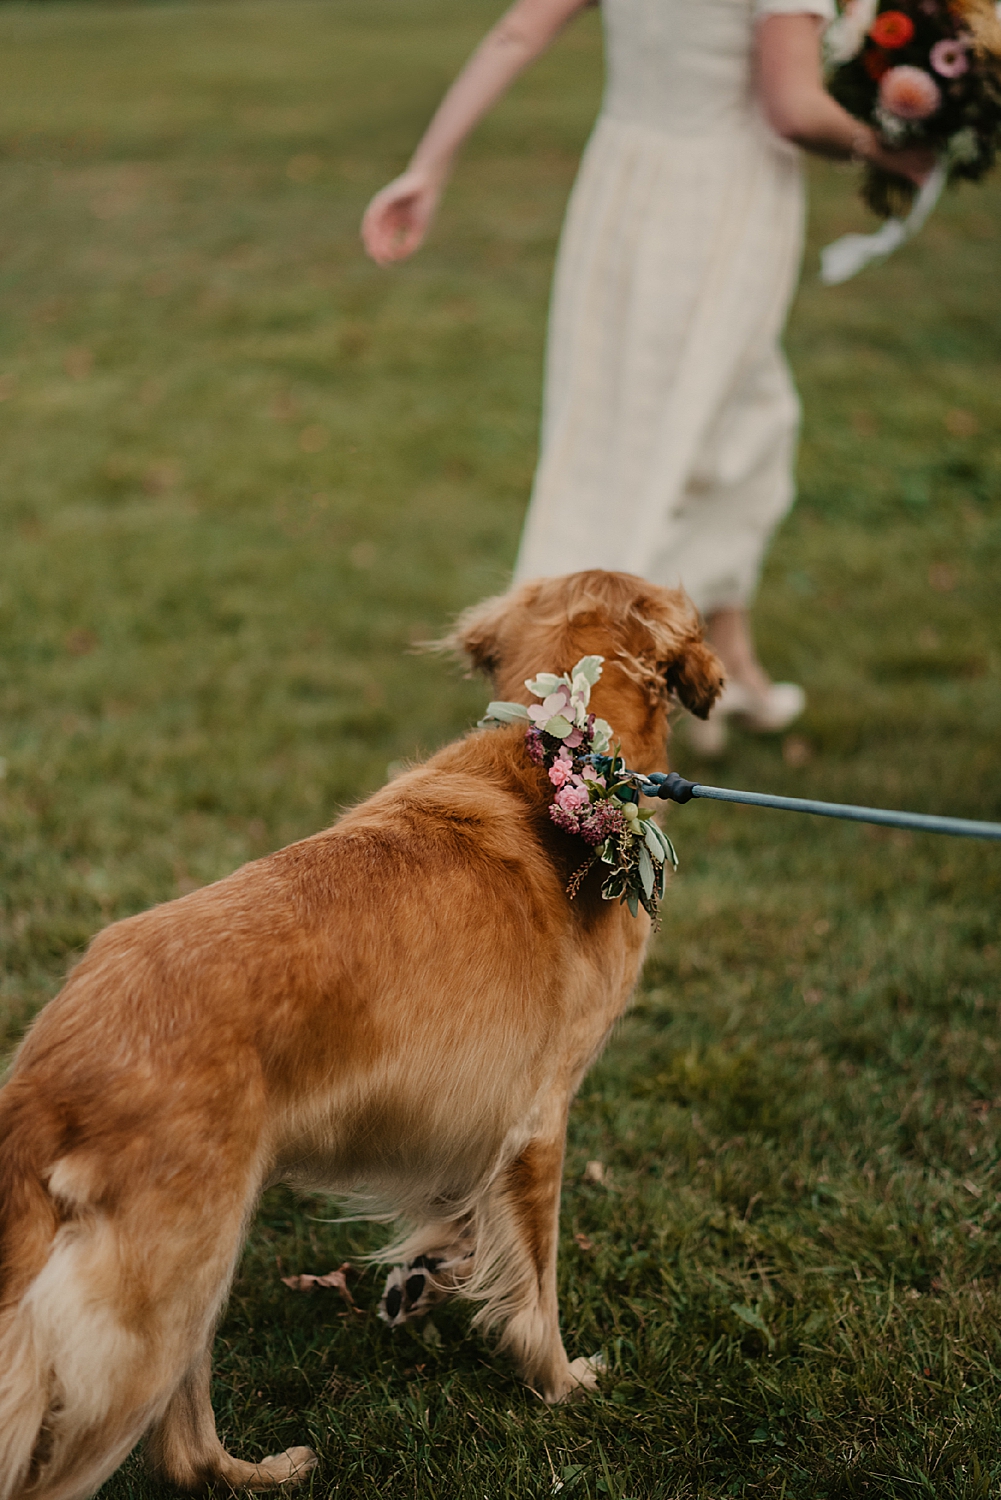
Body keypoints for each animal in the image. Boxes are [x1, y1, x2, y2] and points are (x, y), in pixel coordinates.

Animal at [0, 570, 720, 1500]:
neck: (556, 761)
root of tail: (44, 1082)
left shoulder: (461, 1122)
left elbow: (460, 1215)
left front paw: (428, 1274)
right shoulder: (537, 1121)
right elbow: (537, 1284)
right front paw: (559, 1381)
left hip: (191, 1278)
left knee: (186, 1451)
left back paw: (259, 1471)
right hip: (159, 1307)